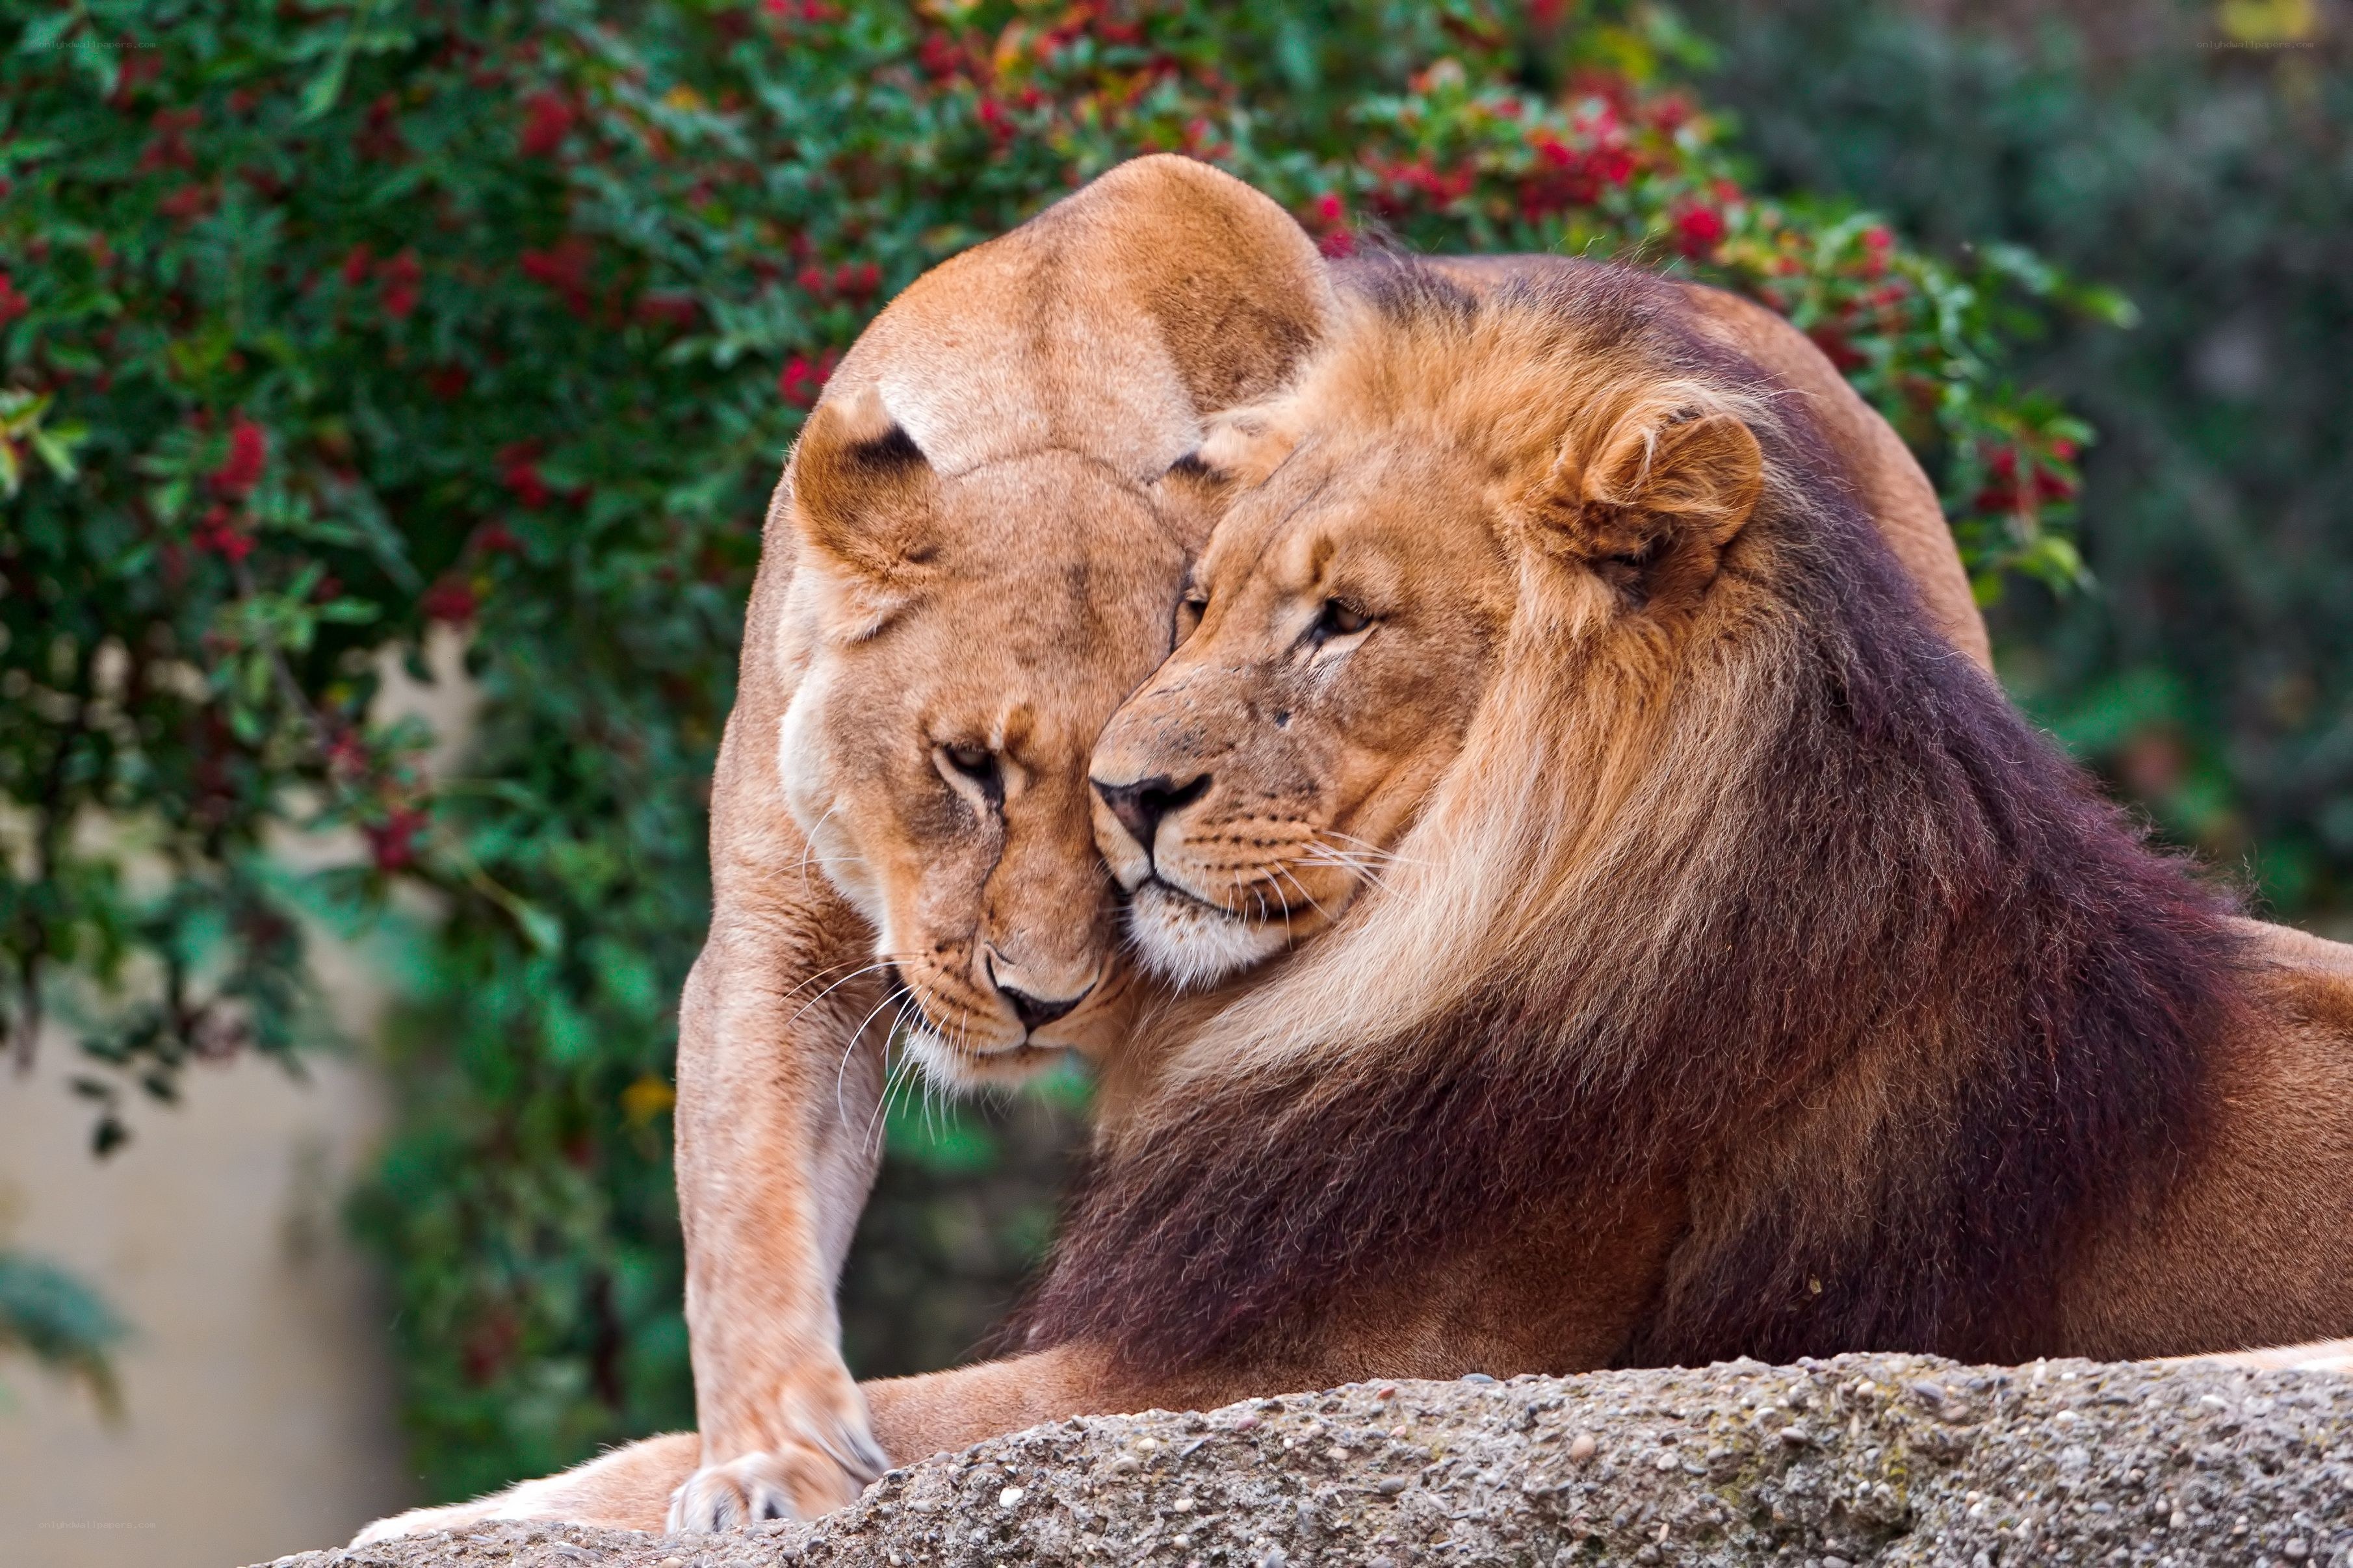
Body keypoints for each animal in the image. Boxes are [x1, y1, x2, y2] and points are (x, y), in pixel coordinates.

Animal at [355, 184, 2007, 1541]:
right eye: (965, 765)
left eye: (1104, 799)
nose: (1036, 1004)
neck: (1049, 370)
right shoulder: (777, 936)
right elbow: (747, 1216)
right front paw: (767, 1456)